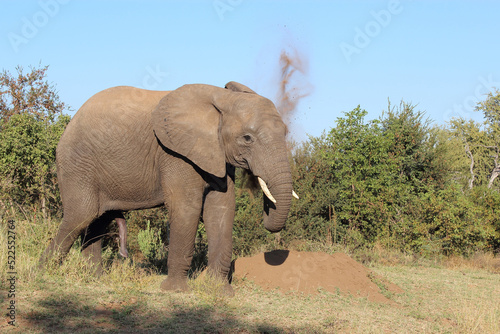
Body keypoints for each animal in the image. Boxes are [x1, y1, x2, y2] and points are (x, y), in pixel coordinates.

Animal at [41, 81, 296, 294]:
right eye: (247, 138)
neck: (222, 98)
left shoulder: (216, 153)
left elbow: (221, 208)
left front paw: (220, 291)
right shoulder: (175, 153)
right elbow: (187, 207)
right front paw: (175, 291)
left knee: (98, 220)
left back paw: (95, 279)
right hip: (77, 164)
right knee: (81, 215)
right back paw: (43, 271)